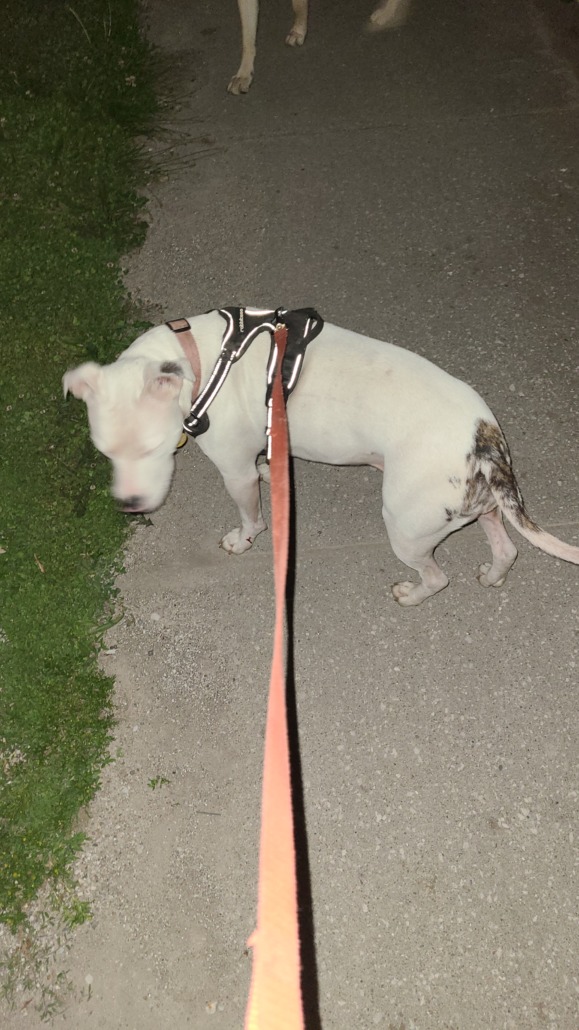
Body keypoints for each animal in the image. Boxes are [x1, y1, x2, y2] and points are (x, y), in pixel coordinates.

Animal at [63, 310, 579, 606]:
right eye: (105, 452)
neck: (202, 361)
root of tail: (483, 439)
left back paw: (411, 594)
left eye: (152, 448)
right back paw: (492, 576)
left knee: (436, 578)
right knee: (506, 548)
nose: (128, 504)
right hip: (479, 507)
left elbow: (250, 518)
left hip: (406, 528)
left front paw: (242, 540)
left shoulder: (233, 473)